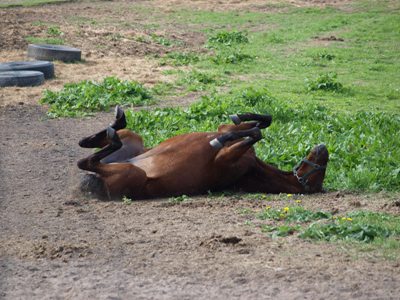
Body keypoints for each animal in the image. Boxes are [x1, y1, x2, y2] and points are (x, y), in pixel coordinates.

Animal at [78, 105, 328, 199]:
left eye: (319, 176)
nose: (324, 148)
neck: (252, 169)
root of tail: (91, 183)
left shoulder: (226, 157)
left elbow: (255, 133)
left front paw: (218, 141)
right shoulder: (227, 131)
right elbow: (262, 123)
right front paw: (240, 118)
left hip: (131, 172)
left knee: (86, 162)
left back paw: (112, 133)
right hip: (133, 140)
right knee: (88, 147)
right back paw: (115, 122)